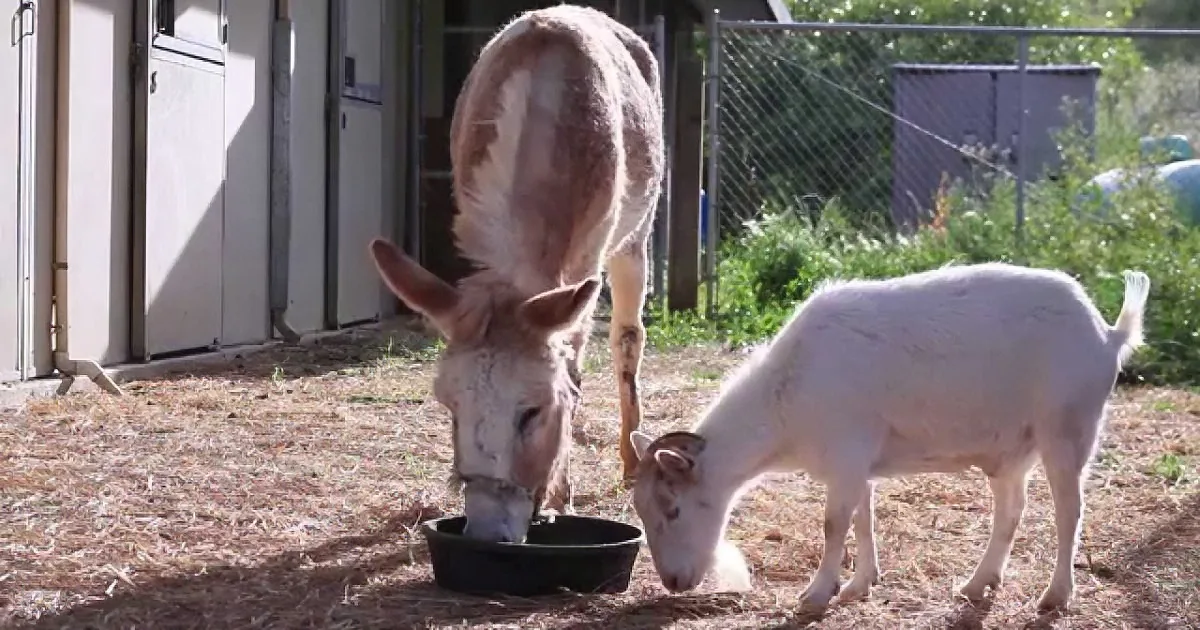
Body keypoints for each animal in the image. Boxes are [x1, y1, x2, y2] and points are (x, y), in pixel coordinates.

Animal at [368, 4, 664, 543]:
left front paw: (560, 498)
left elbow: (575, 366)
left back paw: (632, 459)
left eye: (535, 411)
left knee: (627, 338)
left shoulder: (586, 260)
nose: (488, 532)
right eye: (449, 408)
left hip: (637, 234)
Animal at [629, 262, 1151, 613]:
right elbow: (863, 518)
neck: (787, 394)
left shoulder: (847, 452)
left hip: (1067, 426)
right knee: (1011, 511)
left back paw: (1054, 597)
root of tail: (1108, 334)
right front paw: (859, 585)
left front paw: (815, 594)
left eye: (673, 509)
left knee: (1069, 512)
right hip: (1013, 448)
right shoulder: (857, 463)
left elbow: (834, 524)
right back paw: (976, 585)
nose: (673, 581)